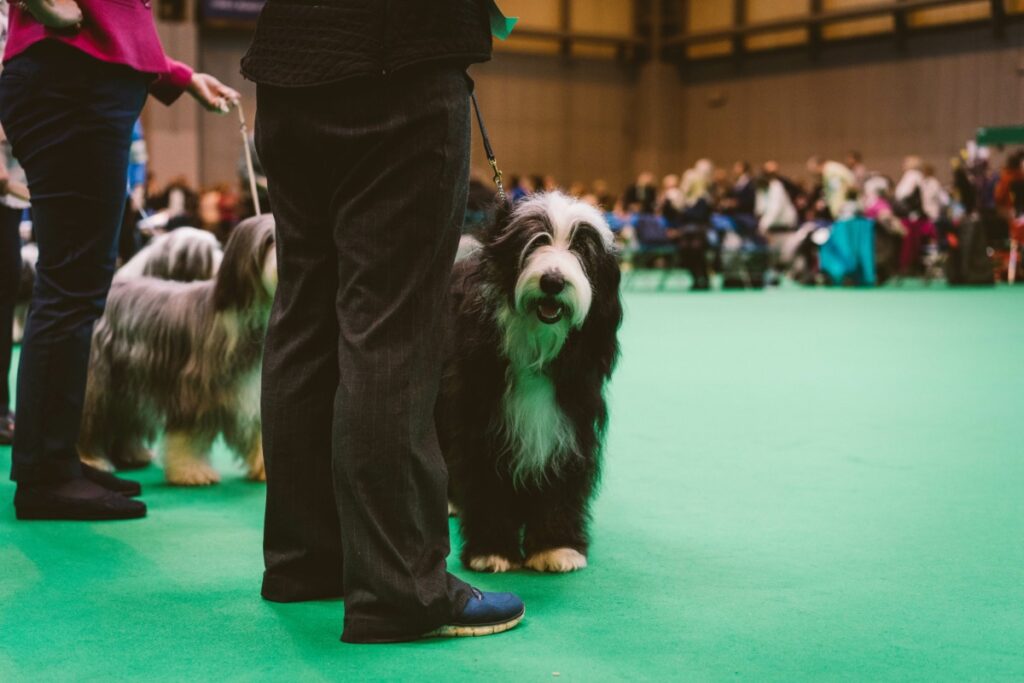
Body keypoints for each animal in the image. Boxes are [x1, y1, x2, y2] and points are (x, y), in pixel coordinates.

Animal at [78, 215, 276, 485]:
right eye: (270, 240)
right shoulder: (194, 394)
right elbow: (189, 437)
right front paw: (191, 471)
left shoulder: (251, 390)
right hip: (98, 383)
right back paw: (90, 460)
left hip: (127, 387)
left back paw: (132, 454)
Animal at [434, 193, 618, 577]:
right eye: (535, 241)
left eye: (582, 248)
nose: (553, 281)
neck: (536, 346)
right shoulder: (481, 416)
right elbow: (485, 478)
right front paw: (492, 550)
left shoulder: (567, 422)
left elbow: (558, 482)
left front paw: (555, 547)